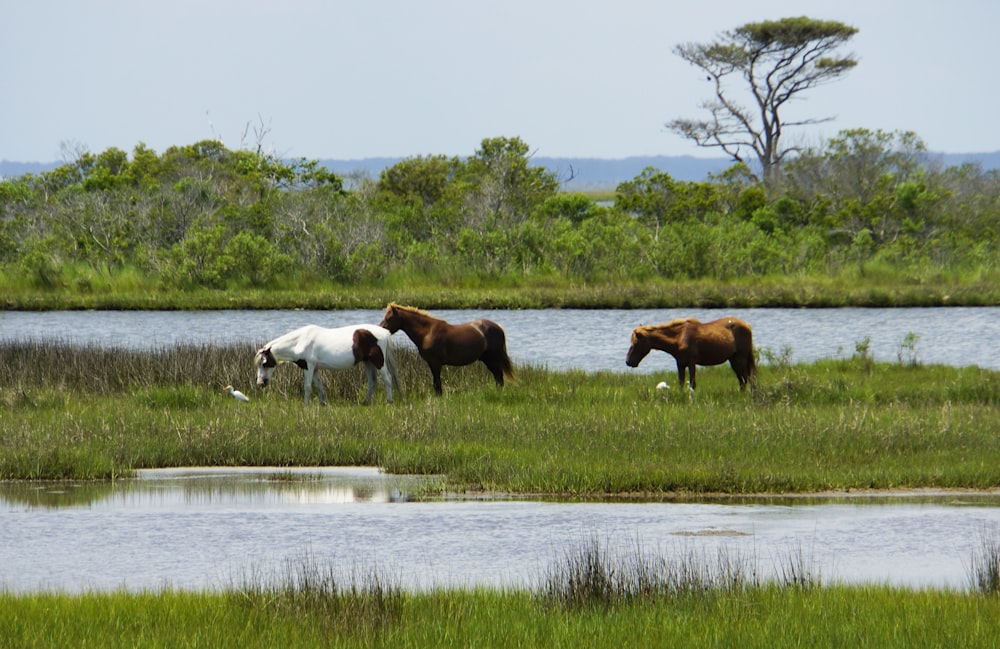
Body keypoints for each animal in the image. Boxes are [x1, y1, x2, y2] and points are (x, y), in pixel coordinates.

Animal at [254, 324, 398, 404]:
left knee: (387, 379)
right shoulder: (315, 368)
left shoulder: (309, 366)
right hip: (368, 362)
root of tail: (385, 332)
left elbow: (307, 386)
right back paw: (366, 402)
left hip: (379, 361)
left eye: (264, 364)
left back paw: (389, 401)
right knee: (372, 381)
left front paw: (306, 405)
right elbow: (319, 386)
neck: (300, 341)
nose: (260, 383)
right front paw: (323, 403)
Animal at [376, 302, 516, 394]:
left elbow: (437, 383)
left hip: (493, 359)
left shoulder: (436, 363)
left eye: (389, 318)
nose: (379, 330)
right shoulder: (431, 363)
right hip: (487, 360)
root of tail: (498, 327)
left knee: (499, 377)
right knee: (498, 377)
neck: (427, 332)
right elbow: (435, 383)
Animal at [624, 316, 756, 388]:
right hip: (733, 360)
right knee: (743, 381)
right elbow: (681, 383)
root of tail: (747, 326)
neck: (679, 338)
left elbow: (692, 384)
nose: (628, 361)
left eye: (635, 343)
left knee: (748, 379)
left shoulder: (691, 362)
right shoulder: (680, 363)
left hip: (740, 358)